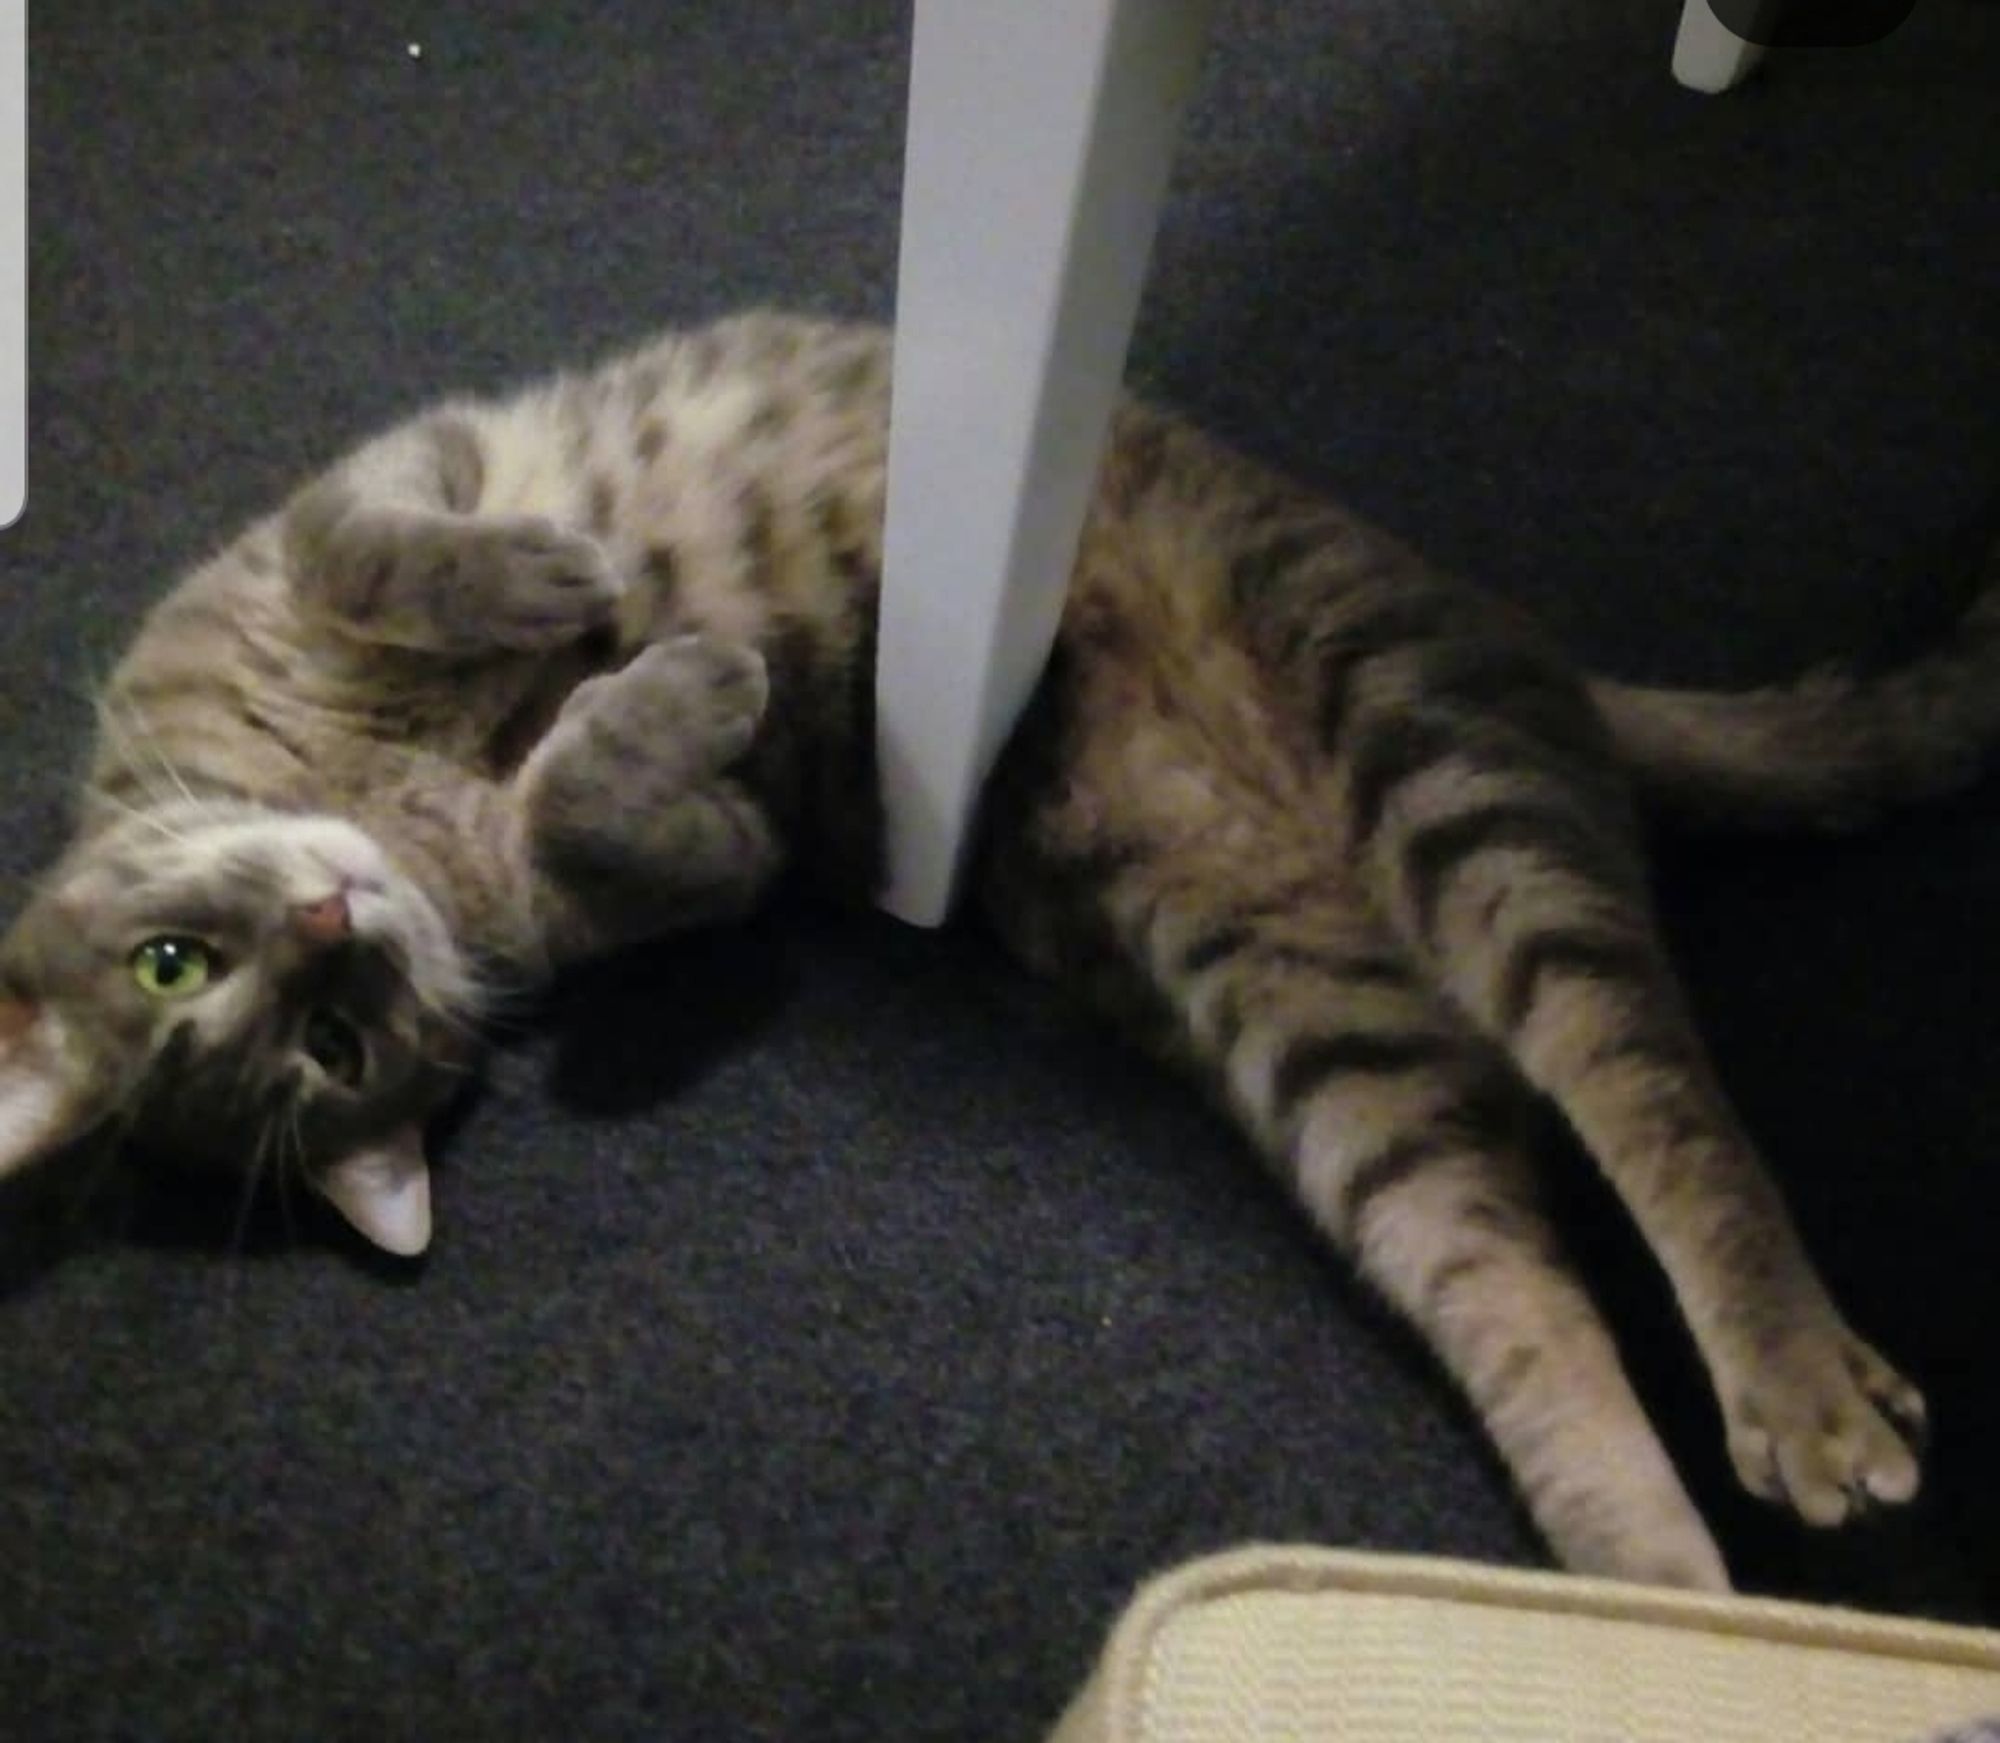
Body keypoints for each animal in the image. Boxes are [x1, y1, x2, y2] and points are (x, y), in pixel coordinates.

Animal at [3, 313, 2000, 1591]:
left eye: (181, 961)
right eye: (322, 1048)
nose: (333, 925)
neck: (374, 799)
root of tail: (1544, 663)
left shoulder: (351, 502)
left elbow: (399, 549)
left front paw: (566, 592)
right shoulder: (682, 870)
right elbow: (596, 802)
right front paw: (664, 687)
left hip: (1417, 743)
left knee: (1663, 1102)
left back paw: (1794, 1379)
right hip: (1324, 1038)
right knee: (1528, 1297)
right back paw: (1649, 1593)